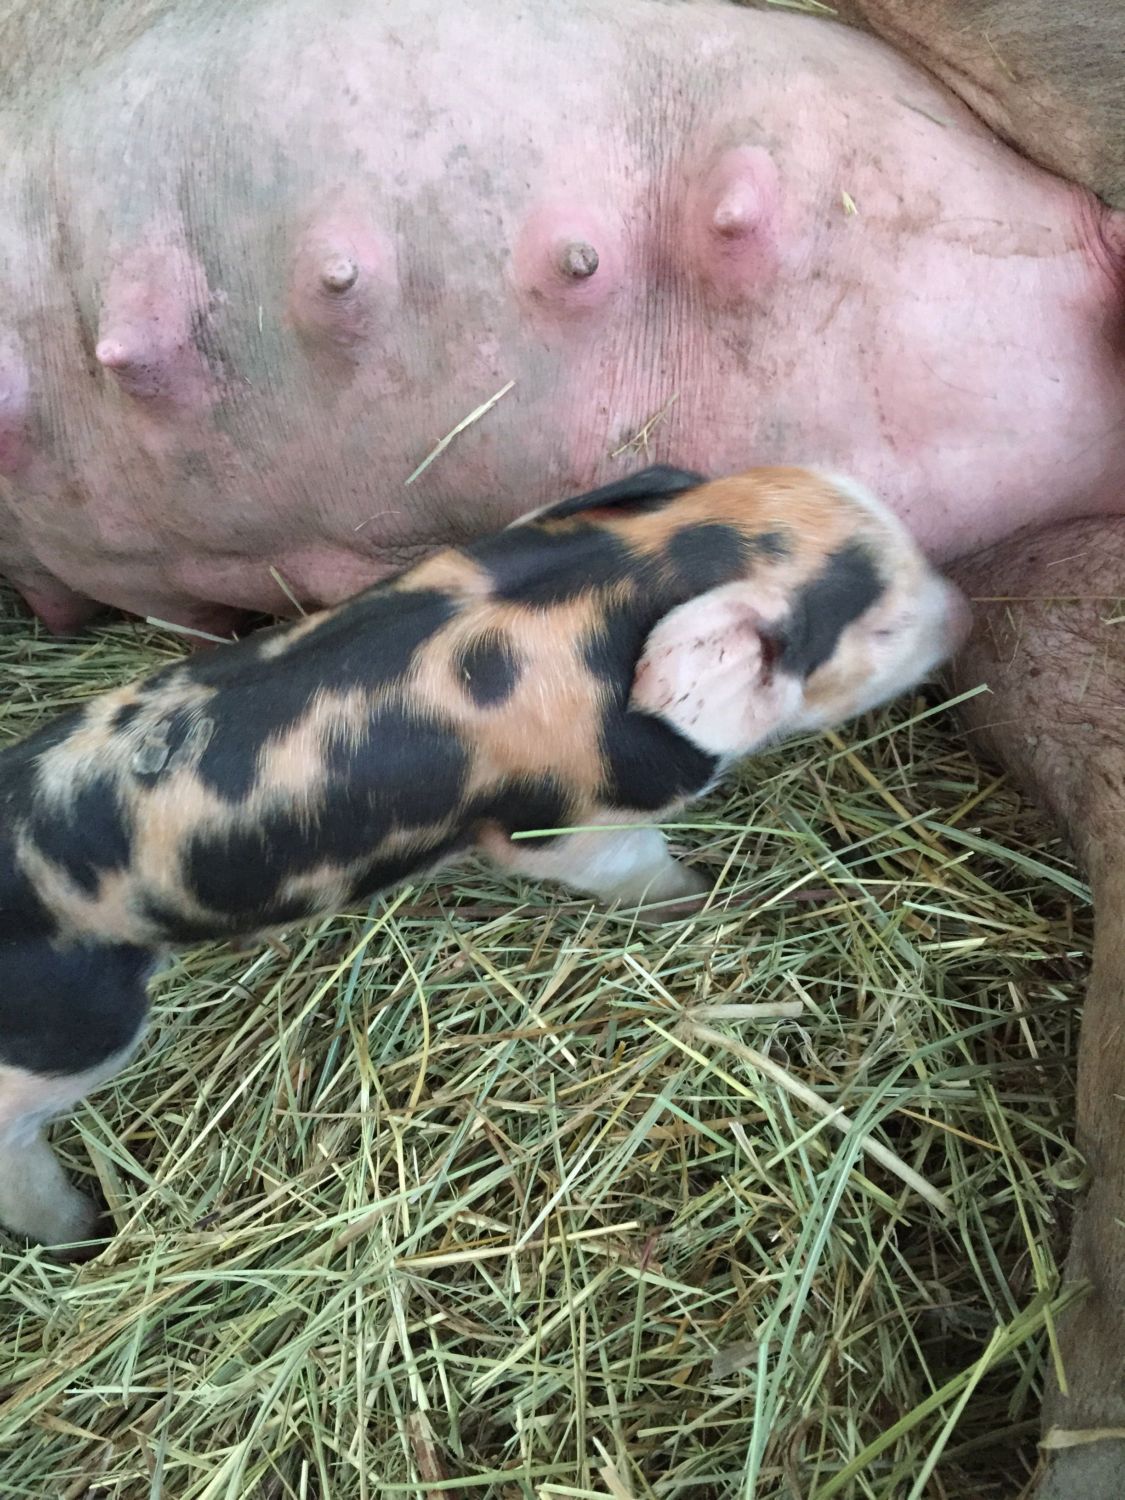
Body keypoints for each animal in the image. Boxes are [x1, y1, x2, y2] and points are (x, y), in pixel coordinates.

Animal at [0, 465, 970, 1247]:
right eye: (882, 628)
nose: (962, 614)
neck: (636, 568)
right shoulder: (569, 830)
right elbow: (635, 870)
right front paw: (706, 902)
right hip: (75, 1030)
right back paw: (83, 1233)